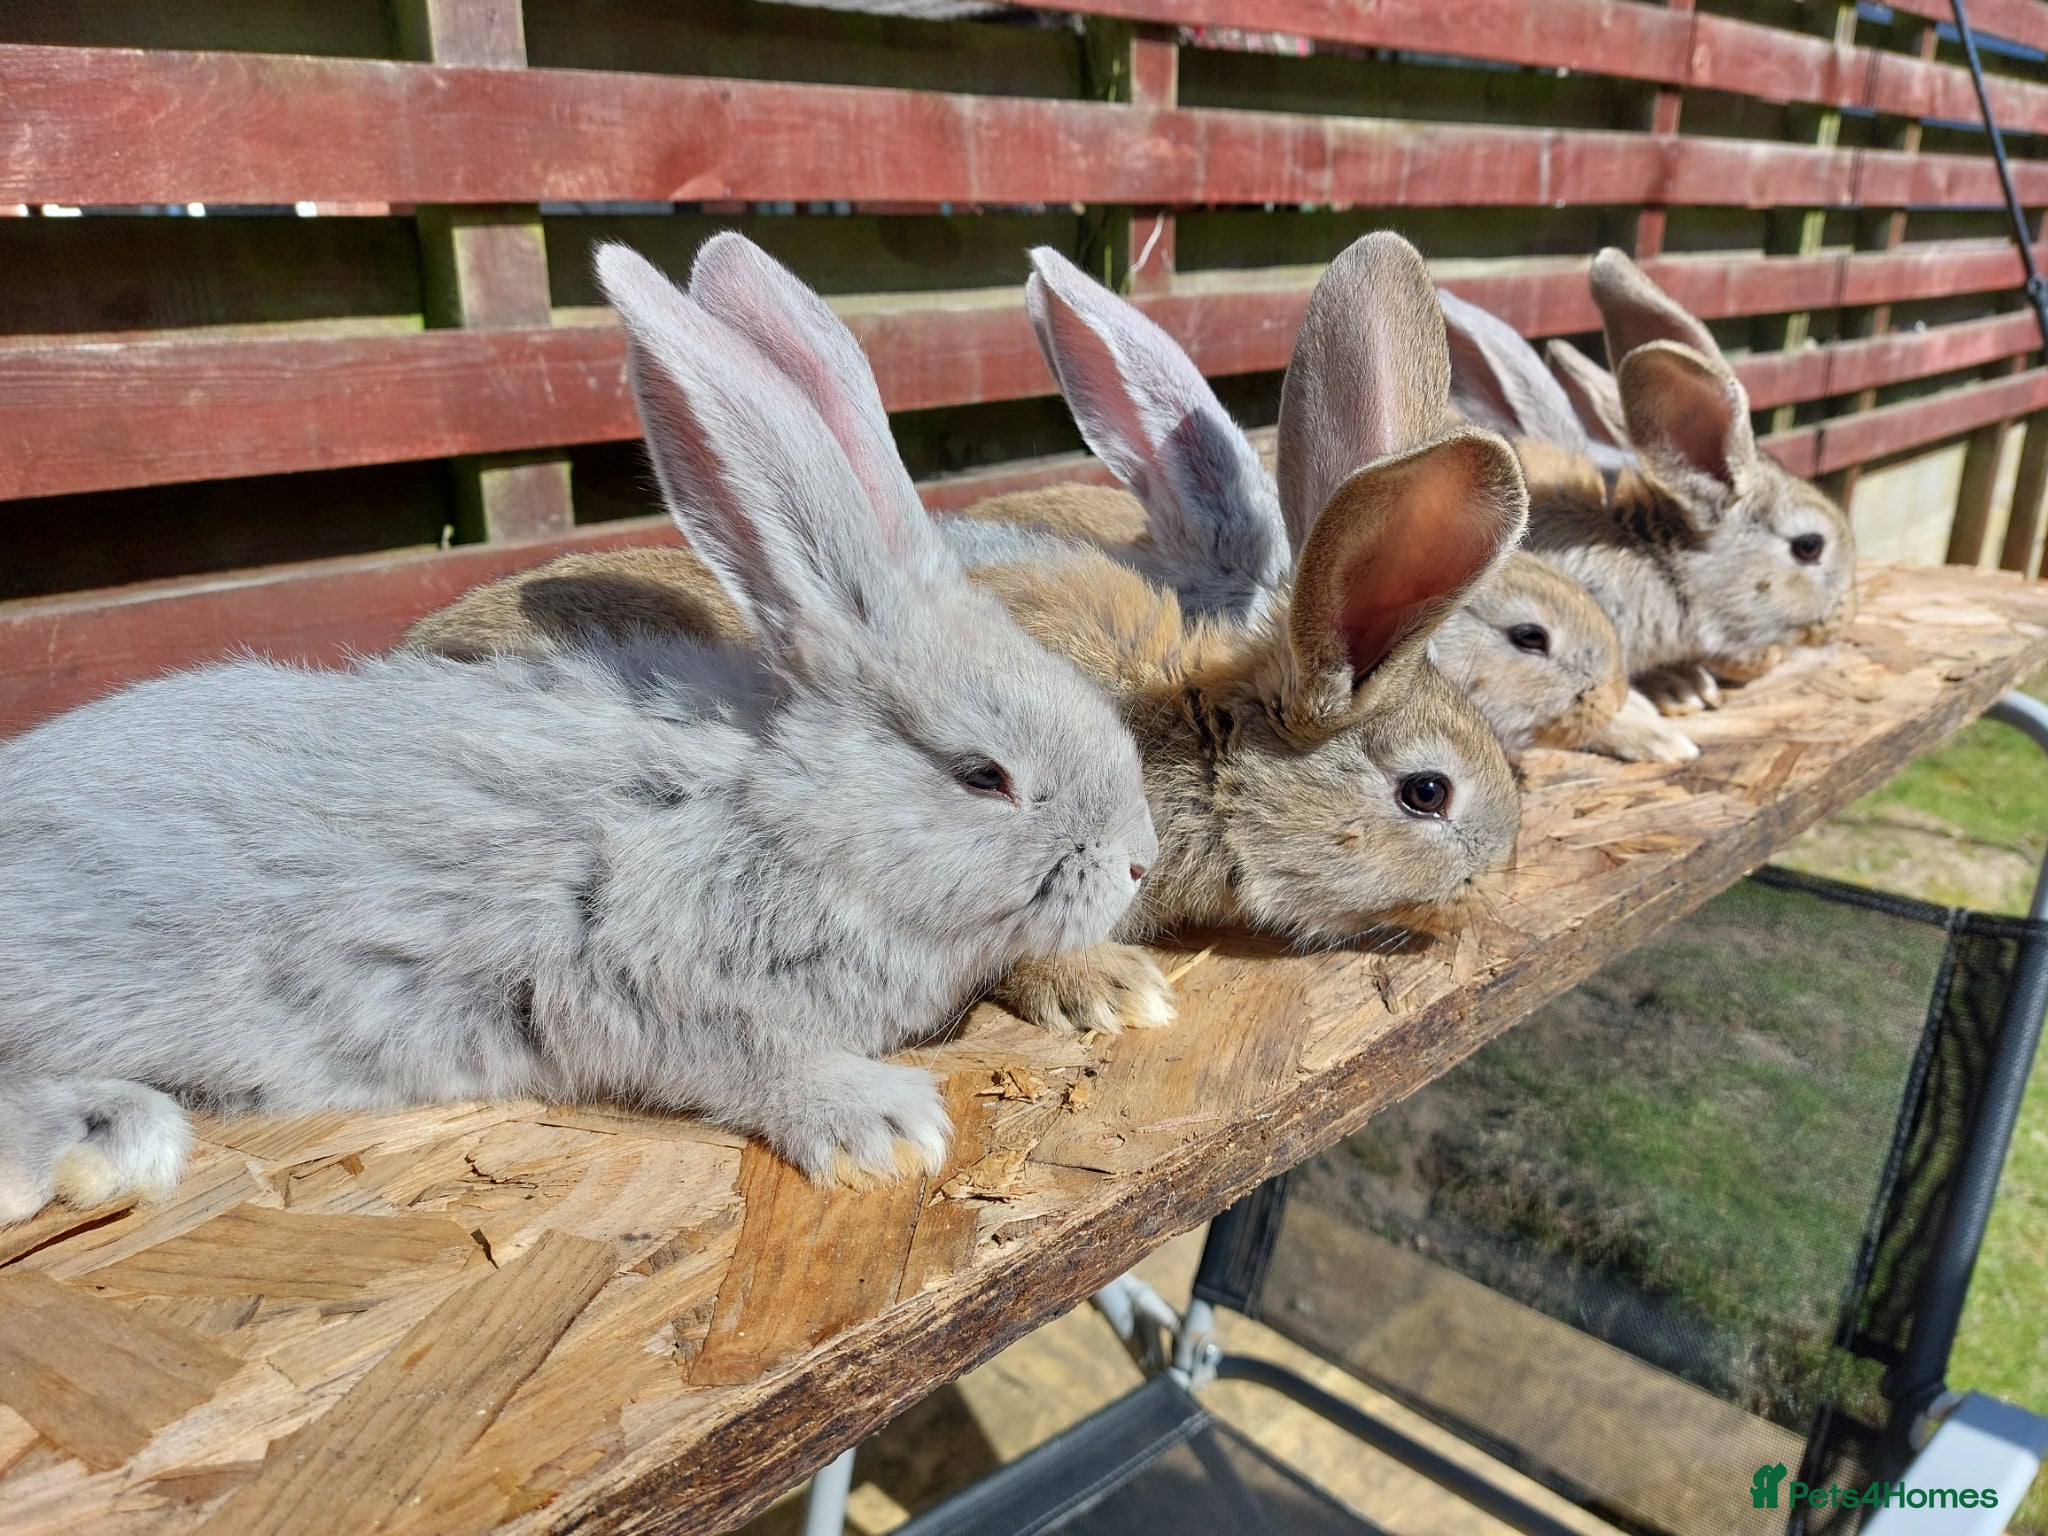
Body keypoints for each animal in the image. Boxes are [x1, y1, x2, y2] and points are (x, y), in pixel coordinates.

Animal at [0, 239, 1157, 1224]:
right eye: (982, 775)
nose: (1139, 861)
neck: (782, 812)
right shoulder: (633, 982)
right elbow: (749, 1057)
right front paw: (885, 1127)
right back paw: (103, 1143)